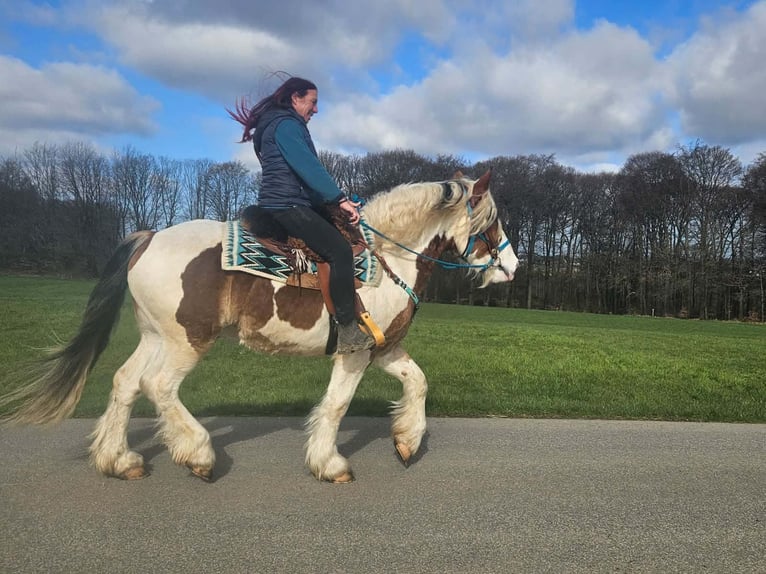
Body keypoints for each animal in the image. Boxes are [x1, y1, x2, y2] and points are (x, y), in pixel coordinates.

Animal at [0, 171, 518, 483]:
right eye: (493, 223)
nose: (513, 265)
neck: (389, 256)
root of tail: (149, 237)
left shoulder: (384, 348)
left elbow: (418, 382)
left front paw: (407, 441)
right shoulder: (355, 352)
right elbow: (337, 406)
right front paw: (330, 463)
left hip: (155, 336)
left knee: (125, 382)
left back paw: (119, 459)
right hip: (188, 340)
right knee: (158, 386)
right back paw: (199, 454)